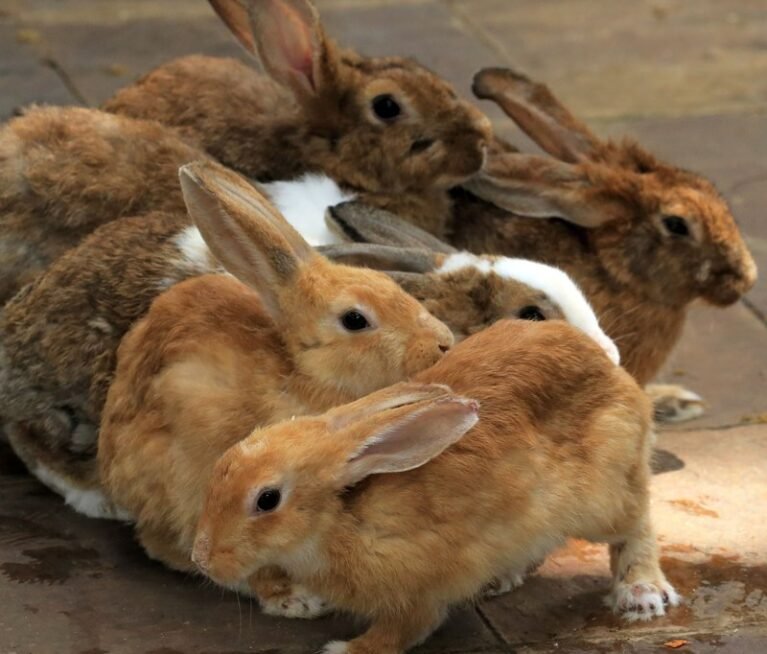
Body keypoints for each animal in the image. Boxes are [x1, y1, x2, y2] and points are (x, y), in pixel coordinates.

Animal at [191, 318, 680, 654]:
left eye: (267, 500)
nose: (202, 560)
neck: (343, 517)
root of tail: (613, 371)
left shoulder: (416, 593)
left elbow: (400, 633)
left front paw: (343, 650)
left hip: (604, 496)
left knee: (637, 525)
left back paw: (642, 594)